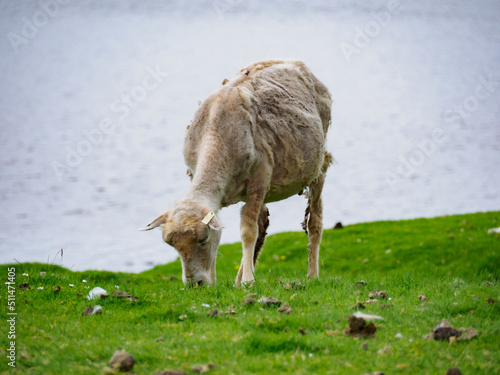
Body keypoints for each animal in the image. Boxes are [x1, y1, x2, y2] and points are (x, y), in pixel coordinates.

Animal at [141, 59, 332, 288]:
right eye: (172, 245)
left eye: (203, 239)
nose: (195, 284)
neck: (216, 133)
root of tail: (292, 61)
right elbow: (232, 228)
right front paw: (219, 281)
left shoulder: (260, 179)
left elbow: (248, 231)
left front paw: (248, 281)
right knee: (263, 223)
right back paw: (239, 278)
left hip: (319, 165)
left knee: (314, 221)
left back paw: (312, 275)